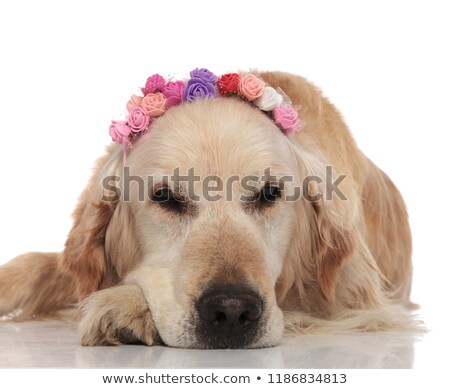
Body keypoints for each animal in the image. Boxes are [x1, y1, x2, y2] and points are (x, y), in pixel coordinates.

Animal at [0, 71, 414, 348]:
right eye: (166, 197)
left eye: (270, 193)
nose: (231, 310)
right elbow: (37, 263)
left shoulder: (350, 299)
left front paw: (122, 303)